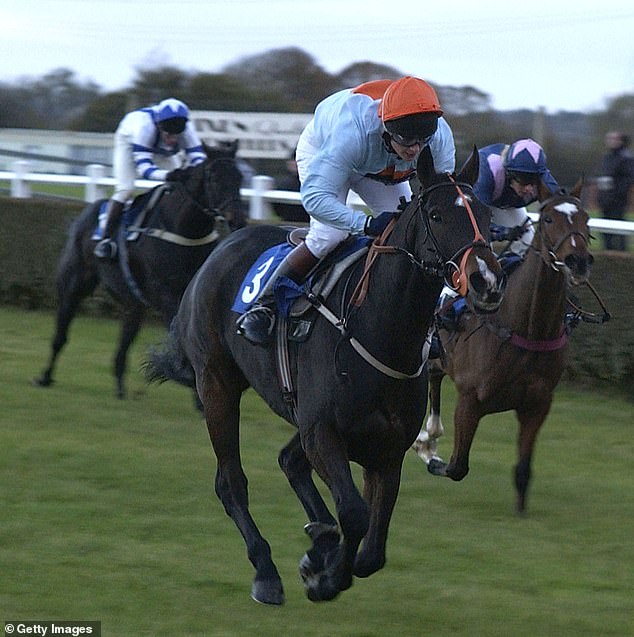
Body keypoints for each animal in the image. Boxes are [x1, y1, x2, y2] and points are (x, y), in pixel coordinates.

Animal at [32, 140, 246, 398]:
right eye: (214, 177)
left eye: (240, 177)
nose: (238, 219)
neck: (184, 230)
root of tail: (86, 212)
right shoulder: (164, 294)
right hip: (73, 286)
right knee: (61, 334)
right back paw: (45, 376)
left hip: (133, 304)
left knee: (124, 341)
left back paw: (120, 388)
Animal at [146, 149, 506, 608]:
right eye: (438, 215)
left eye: (486, 213)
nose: (487, 281)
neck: (378, 328)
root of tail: (221, 247)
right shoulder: (323, 432)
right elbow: (353, 514)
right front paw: (326, 577)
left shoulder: (386, 450)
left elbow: (372, 552)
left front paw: (323, 560)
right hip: (216, 385)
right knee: (231, 483)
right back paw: (266, 571)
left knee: (288, 461)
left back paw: (318, 539)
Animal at [412, 178, 596, 512]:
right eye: (548, 219)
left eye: (586, 219)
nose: (578, 262)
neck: (530, 327)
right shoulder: (470, 400)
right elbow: (457, 466)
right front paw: (428, 452)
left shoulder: (538, 403)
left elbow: (523, 470)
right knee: (431, 377)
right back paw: (428, 436)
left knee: (434, 375)